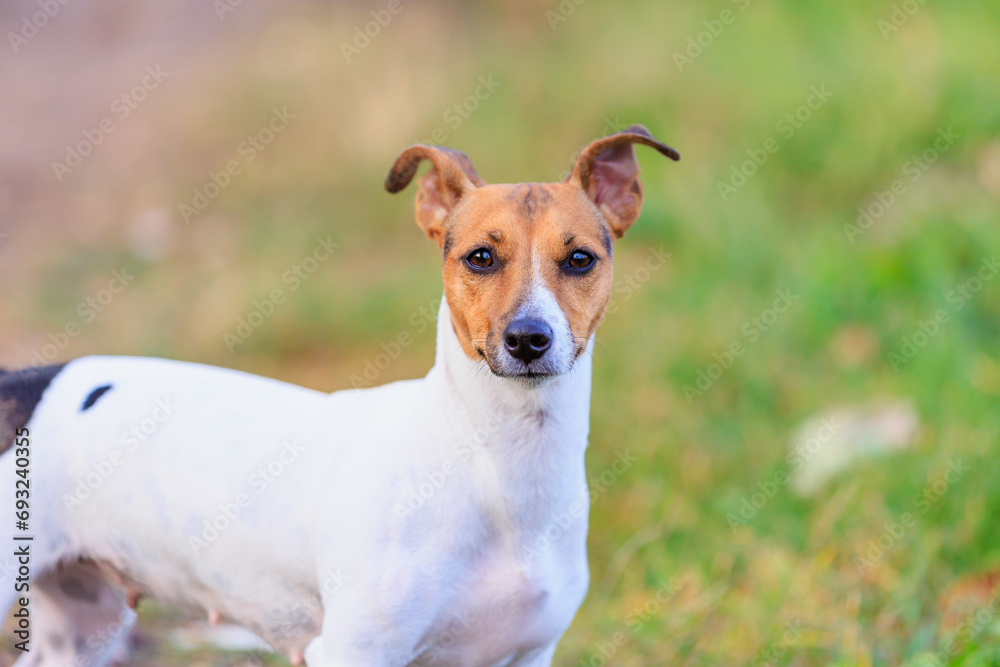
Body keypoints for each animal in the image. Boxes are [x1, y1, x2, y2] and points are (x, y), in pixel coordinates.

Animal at [0, 124, 680, 664]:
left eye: (580, 260)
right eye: (481, 257)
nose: (528, 339)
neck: (498, 467)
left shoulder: (526, 653)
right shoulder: (354, 650)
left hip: (84, 624)